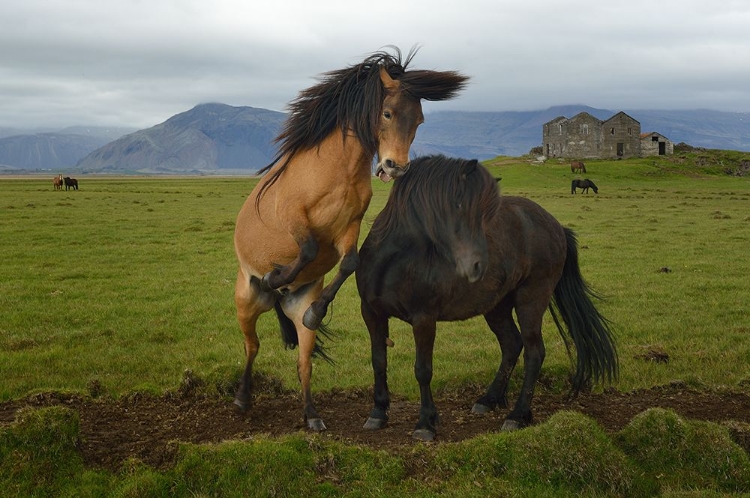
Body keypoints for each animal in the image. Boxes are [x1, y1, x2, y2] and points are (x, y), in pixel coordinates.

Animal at [235, 47, 470, 432]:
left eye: (419, 120)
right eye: (387, 113)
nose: (394, 167)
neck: (335, 170)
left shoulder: (349, 227)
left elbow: (349, 263)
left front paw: (317, 310)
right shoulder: (294, 217)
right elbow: (307, 249)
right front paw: (274, 275)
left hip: (295, 311)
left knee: (303, 362)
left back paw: (312, 416)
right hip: (245, 302)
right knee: (251, 347)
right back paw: (242, 397)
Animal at [356, 155, 616, 440]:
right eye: (459, 206)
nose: (477, 265)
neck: (395, 259)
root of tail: (556, 226)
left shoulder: (424, 319)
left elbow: (423, 370)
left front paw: (425, 422)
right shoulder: (371, 313)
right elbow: (378, 361)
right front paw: (378, 412)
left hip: (531, 300)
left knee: (534, 352)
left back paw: (517, 415)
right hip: (497, 307)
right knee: (512, 344)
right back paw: (489, 399)